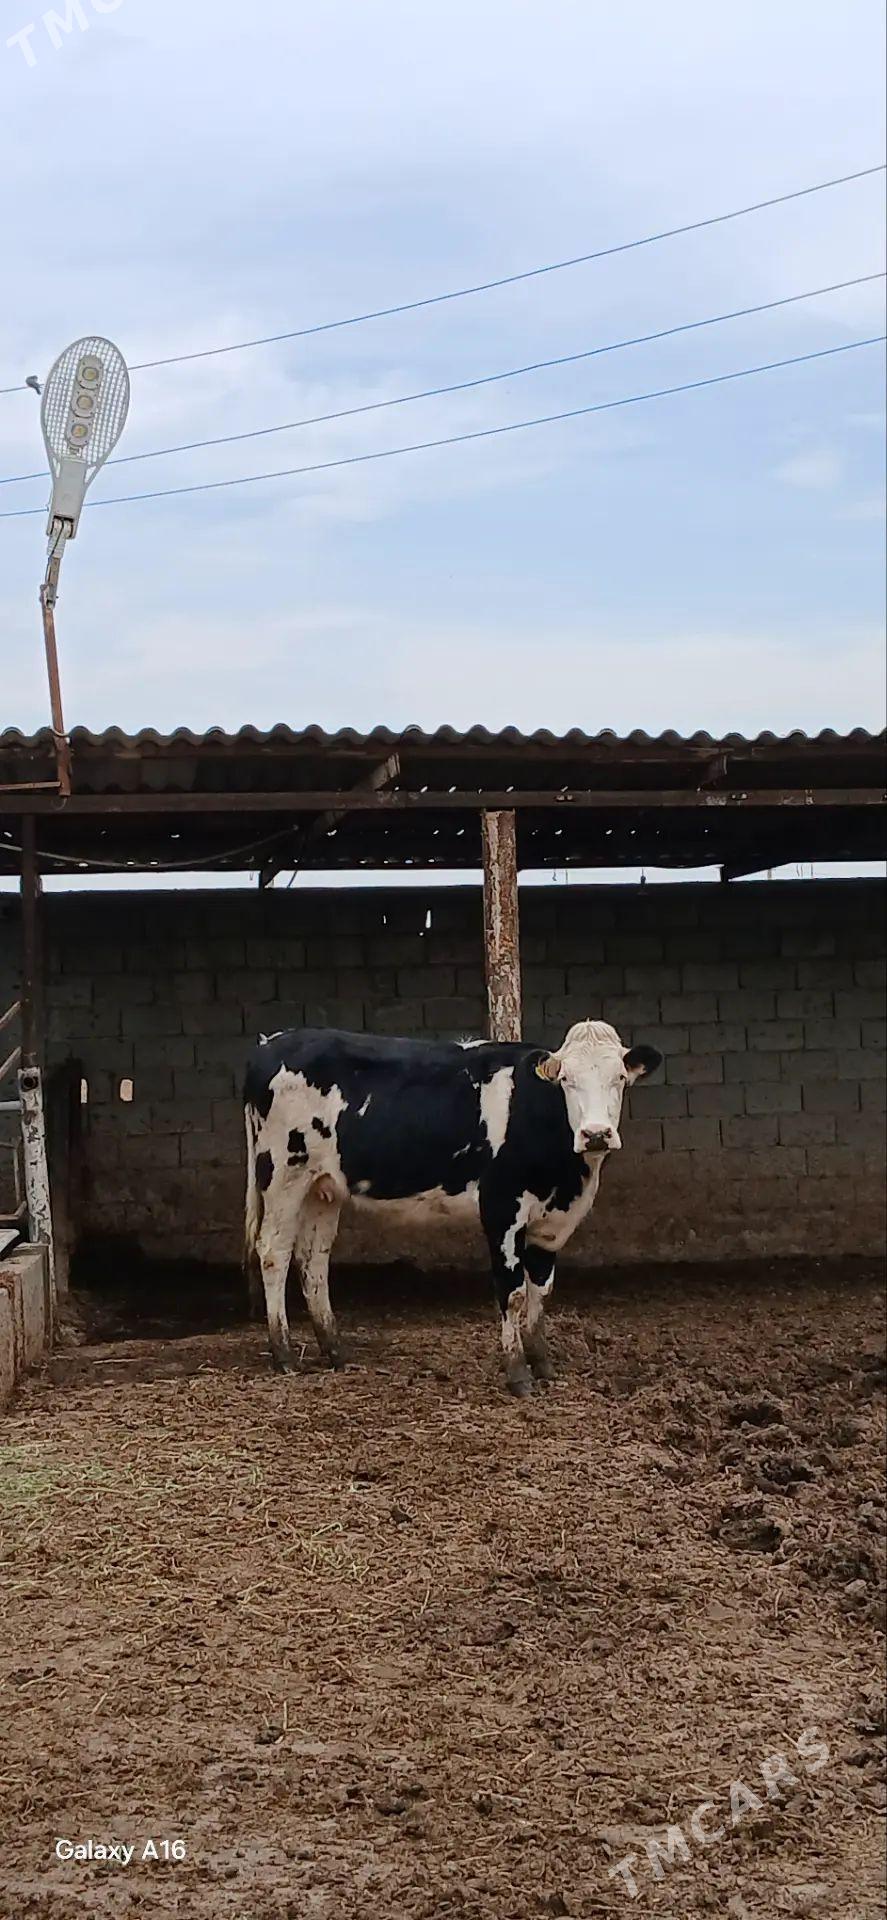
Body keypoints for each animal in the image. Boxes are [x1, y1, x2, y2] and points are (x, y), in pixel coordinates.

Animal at [243, 1020, 662, 1394]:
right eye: (566, 1081)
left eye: (619, 1079)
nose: (596, 1134)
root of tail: (270, 1043)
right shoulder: (501, 1207)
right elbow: (513, 1291)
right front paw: (518, 1375)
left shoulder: (552, 1221)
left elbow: (540, 1290)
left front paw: (542, 1363)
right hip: (283, 1174)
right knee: (274, 1252)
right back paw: (283, 1355)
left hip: (322, 1187)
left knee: (313, 1259)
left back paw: (335, 1351)